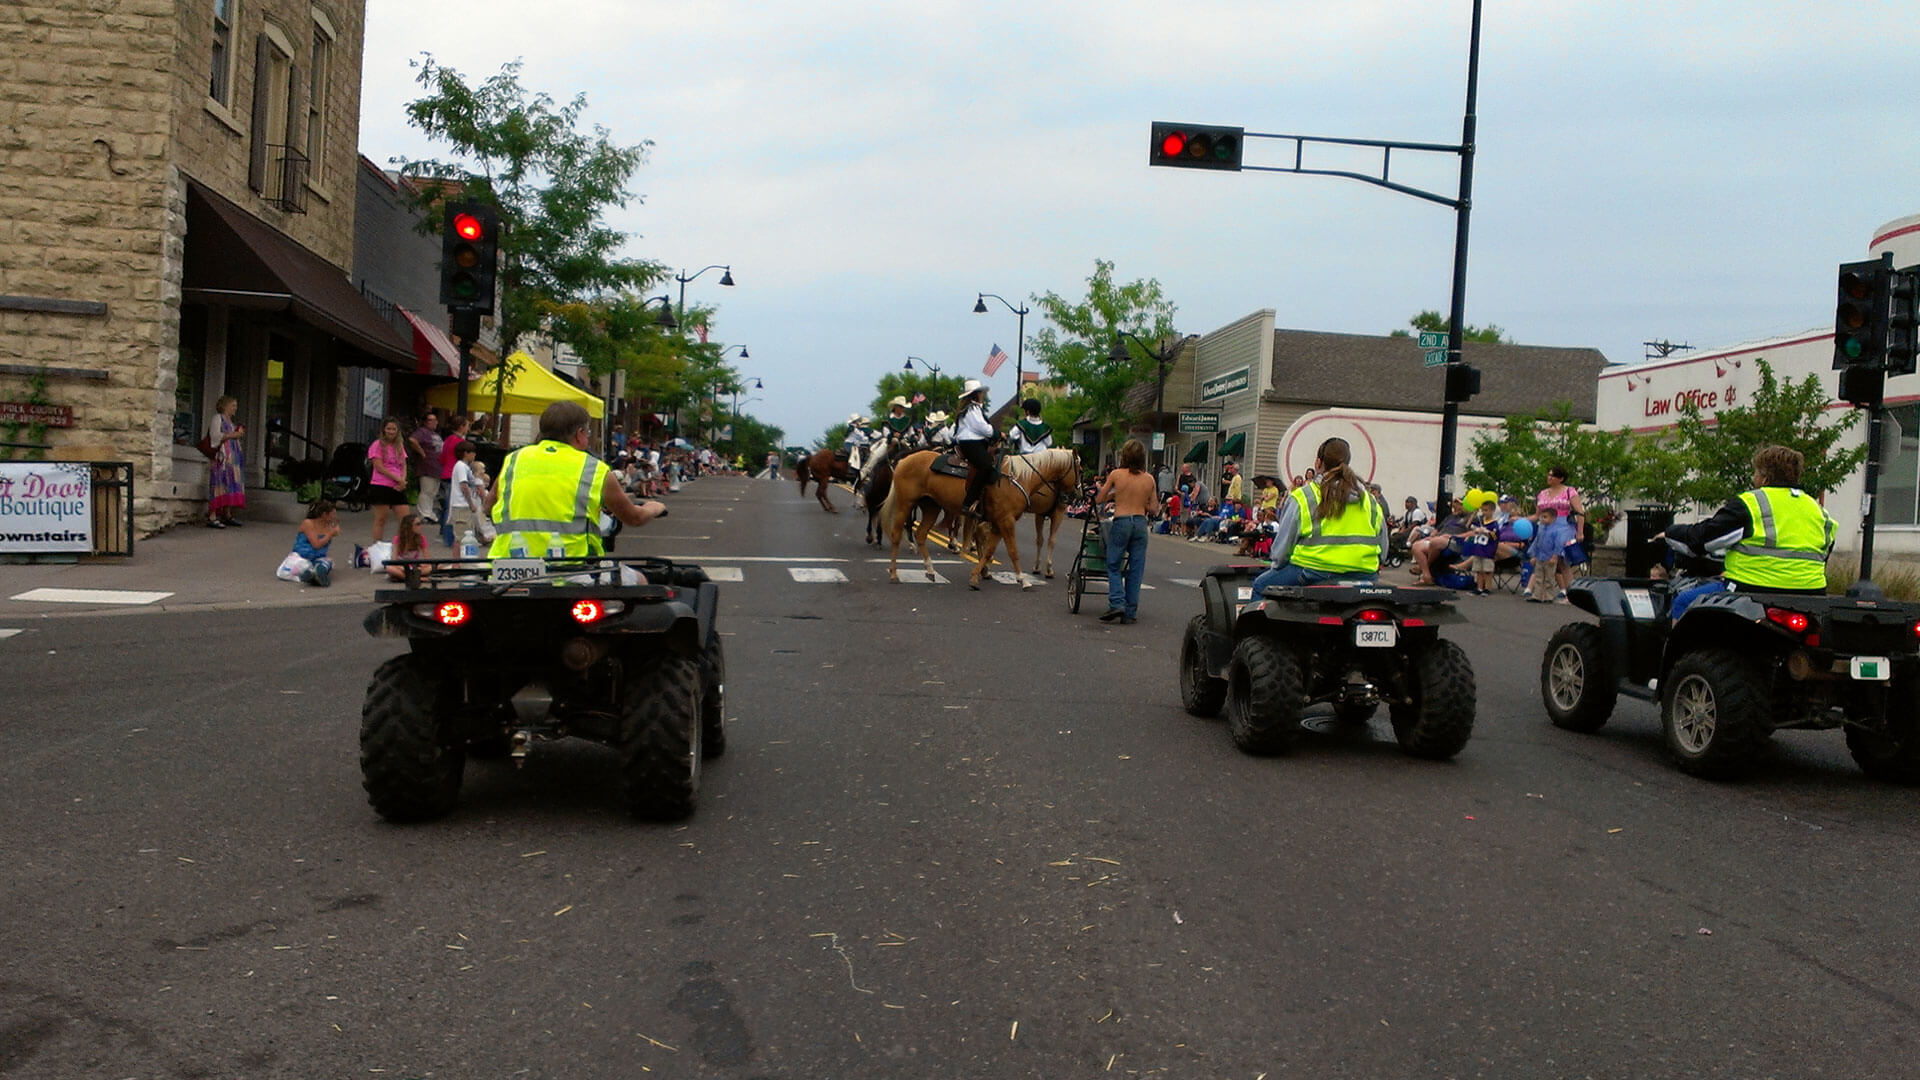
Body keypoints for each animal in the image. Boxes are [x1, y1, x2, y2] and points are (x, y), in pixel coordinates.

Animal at [879, 445, 1082, 588]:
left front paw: (977, 576)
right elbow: (1013, 550)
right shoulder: (1007, 521)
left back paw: (930, 570)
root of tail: (904, 460)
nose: (1078, 496)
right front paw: (1023, 580)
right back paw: (894, 573)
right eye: (1080, 468)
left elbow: (990, 550)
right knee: (897, 535)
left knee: (921, 534)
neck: (1019, 478)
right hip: (905, 504)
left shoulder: (999, 523)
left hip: (931, 507)